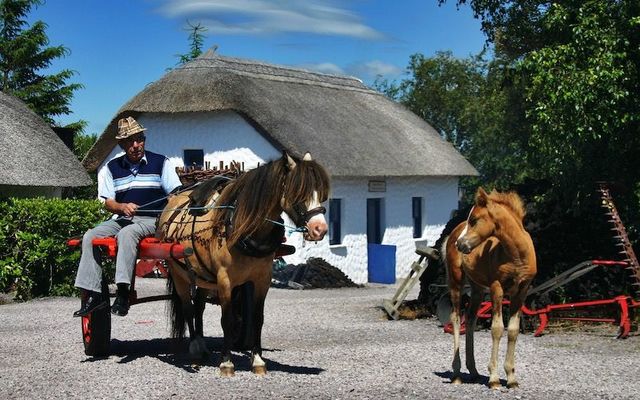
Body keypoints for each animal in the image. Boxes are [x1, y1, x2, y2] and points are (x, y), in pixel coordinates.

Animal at [157, 152, 330, 376]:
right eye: (298, 192)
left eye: (321, 193)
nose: (320, 229)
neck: (241, 227)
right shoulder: (224, 280)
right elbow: (227, 320)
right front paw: (226, 363)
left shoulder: (262, 279)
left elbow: (257, 318)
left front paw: (257, 360)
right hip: (179, 274)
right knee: (188, 308)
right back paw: (195, 349)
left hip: (203, 276)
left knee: (199, 308)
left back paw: (202, 347)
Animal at [442, 189, 536, 390]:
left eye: (474, 219)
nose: (460, 244)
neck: (517, 255)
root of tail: (452, 233)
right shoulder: (496, 288)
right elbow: (497, 328)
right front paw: (494, 378)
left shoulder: (521, 291)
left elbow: (513, 330)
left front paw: (511, 378)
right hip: (456, 281)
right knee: (455, 318)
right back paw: (457, 374)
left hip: (477, 288)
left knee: (470, 319)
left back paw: (474, 371)